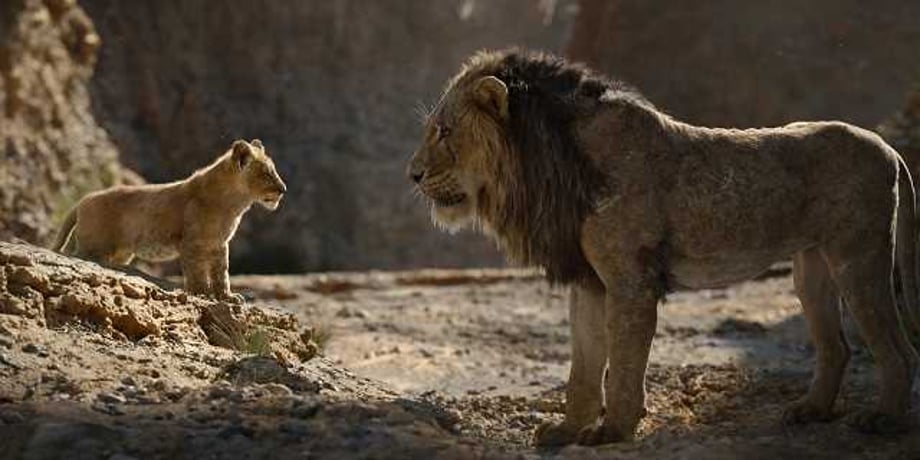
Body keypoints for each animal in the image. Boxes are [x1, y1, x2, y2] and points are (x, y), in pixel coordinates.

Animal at [53, 139, 287, 302]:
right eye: (267, 173)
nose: (283, 189)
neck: (235, 203)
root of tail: (81, 201)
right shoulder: (192, 243)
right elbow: (197, 272)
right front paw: (202, 293)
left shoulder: (219, 244)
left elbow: (222, 272)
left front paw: (227, 298)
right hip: (94, 247)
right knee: (78, 256)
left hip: (120, 253)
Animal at [408, 49, 920, 446]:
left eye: (445, 131)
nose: (412, 174)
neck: (551, 164)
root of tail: (888, 146)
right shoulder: (590, 281)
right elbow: (583, 365)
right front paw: (567, 429)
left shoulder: (630, 280)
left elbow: (624, 361)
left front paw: (612, 430)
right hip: (811, 270)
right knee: (837, 347)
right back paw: (810, 410)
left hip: (858, 258)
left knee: (898, 349)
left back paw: (884, 419)